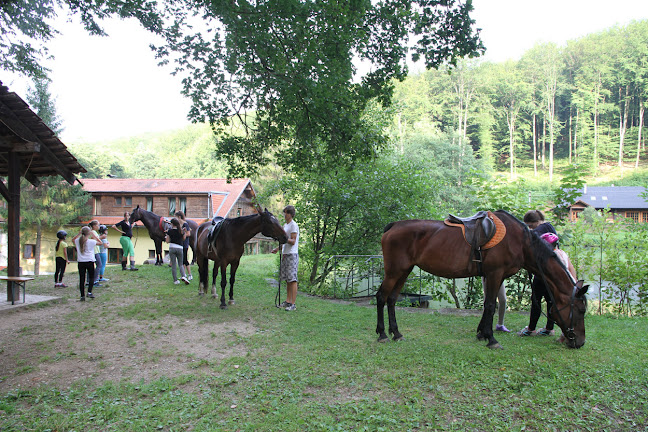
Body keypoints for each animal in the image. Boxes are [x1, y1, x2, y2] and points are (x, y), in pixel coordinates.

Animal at [378, 211, 588, 350]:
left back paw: (396, 334)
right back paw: (382, 334)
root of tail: (393, 226)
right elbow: (490, 305)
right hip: (394, 272)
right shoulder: (495, 273)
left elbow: (490, 304)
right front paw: (492, 339)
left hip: (404, 271)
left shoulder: (493, 276)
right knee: (381, 297)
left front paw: (482, 333)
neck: (519, 242)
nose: (579, 342)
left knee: (392, 299)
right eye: (580, 310)